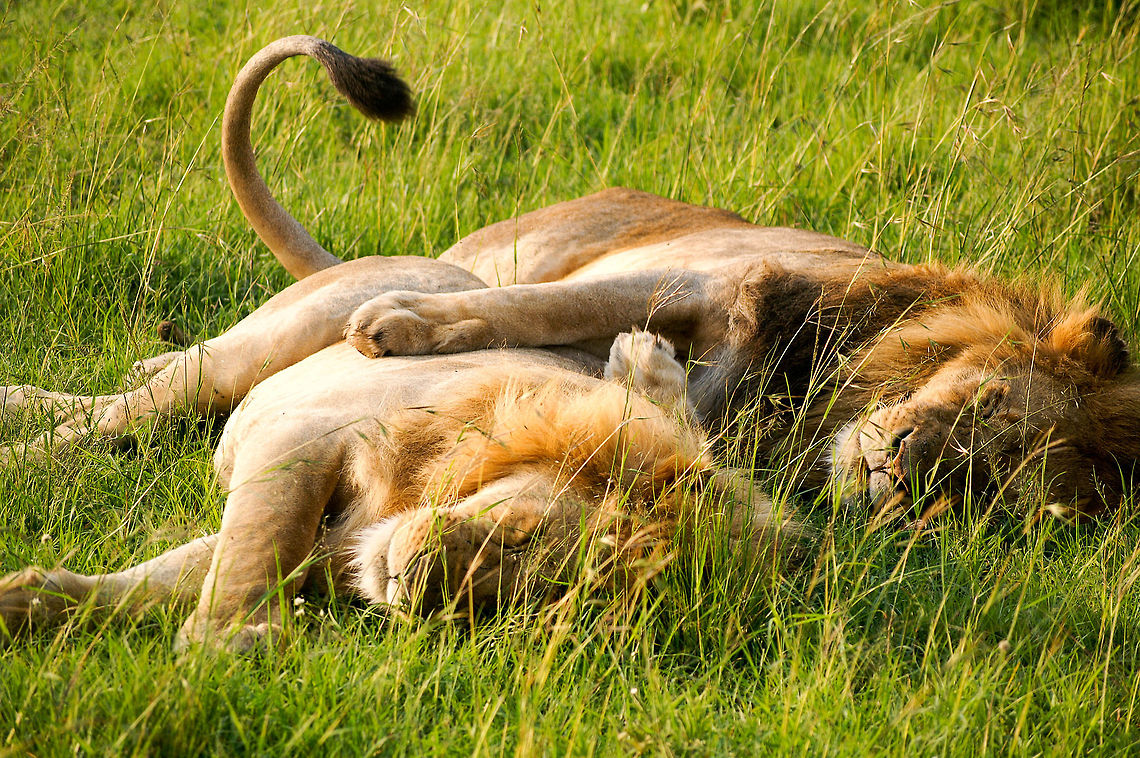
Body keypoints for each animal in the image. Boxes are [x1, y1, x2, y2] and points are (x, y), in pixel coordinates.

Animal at [1, 328, 791, 650]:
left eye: (532, 603)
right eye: (520, 534)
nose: (417, 584)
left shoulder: (330, 548)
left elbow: (184, 573)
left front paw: (34, 600)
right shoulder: (302, 437)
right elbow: (259, 544)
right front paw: (231, 642)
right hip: (245, 363)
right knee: (124, 406)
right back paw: (24, 437)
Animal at [3, 35, 1138, 522]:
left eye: (995, 486)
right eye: (984, 405)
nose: (900, 470)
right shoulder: (699, 280)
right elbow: (533, 306)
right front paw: (403, 326)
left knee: (151, 392)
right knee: (143, 395)